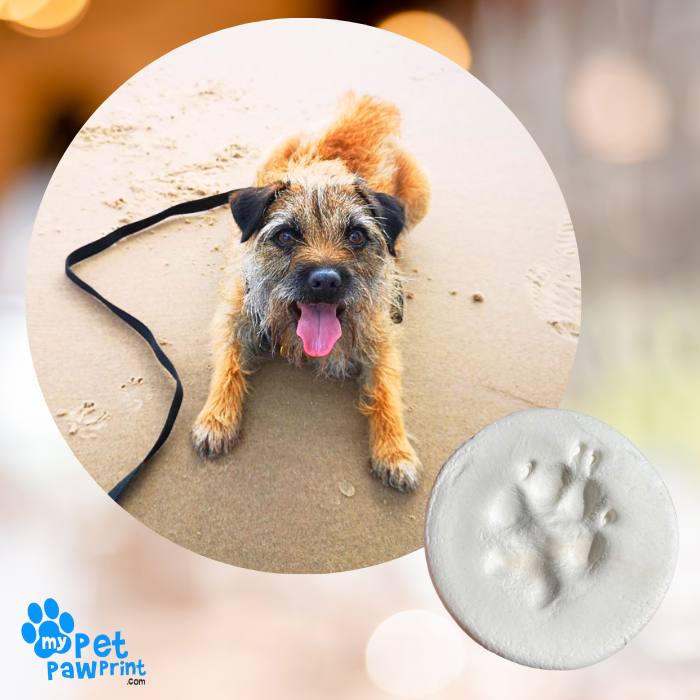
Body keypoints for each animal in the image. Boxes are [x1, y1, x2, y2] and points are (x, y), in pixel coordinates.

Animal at [193, 90, 432, 490]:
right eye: (286, 236)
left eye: (357, 236)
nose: (325, 280)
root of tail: (367, 107)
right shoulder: (236, 317)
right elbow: (228, 365)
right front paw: (216, 419)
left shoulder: (381, 338)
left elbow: (386, 389)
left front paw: (395, 451)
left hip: (420, 197)